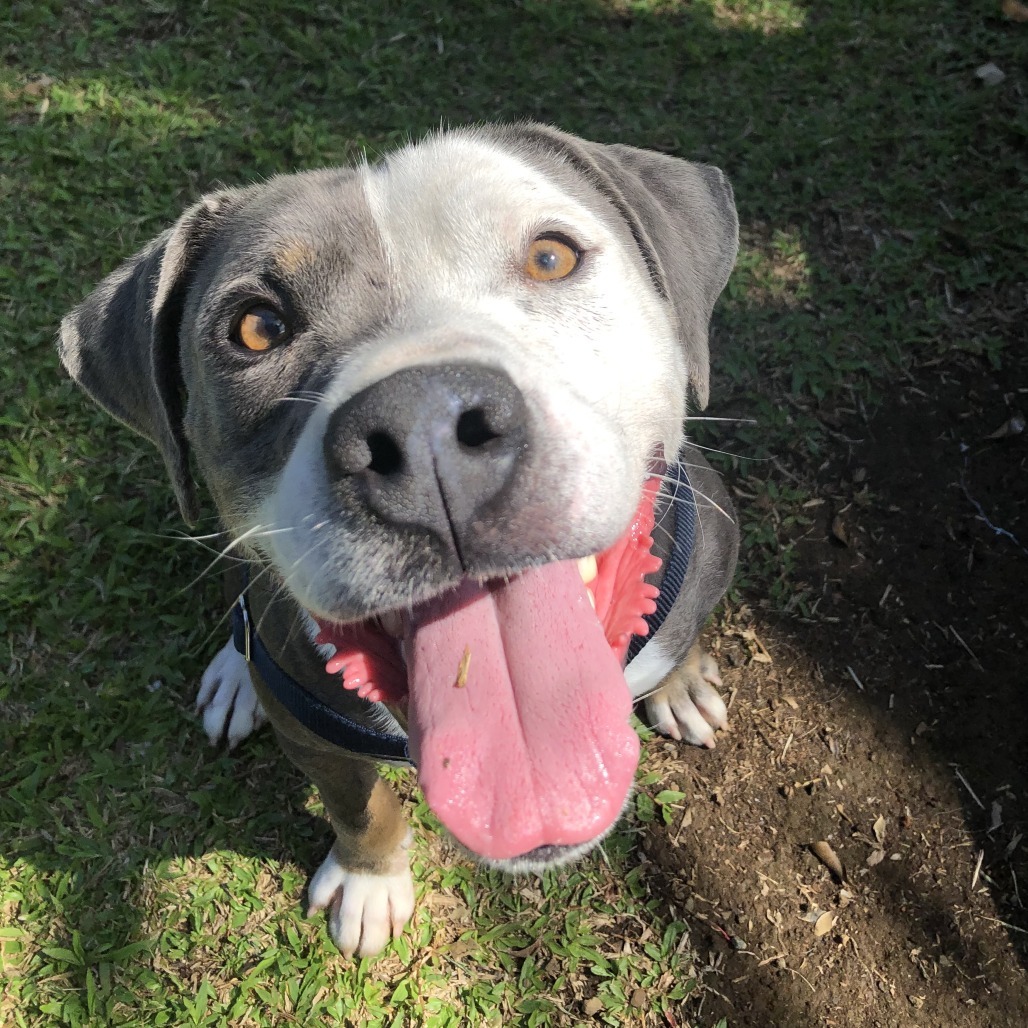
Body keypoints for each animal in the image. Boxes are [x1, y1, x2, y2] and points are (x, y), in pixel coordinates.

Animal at [60, 124, 740, 958]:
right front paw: (369, 881)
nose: (427, 432)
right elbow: (360, 804)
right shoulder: (313, 735)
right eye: (255, 327)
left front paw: (682, 678)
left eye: (552, 257)